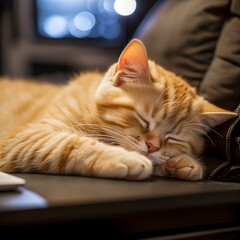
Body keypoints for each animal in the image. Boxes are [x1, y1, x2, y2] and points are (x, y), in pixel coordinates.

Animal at [0, 39, 236, 180]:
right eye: (144, 120)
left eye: (174, 138)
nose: (152, 147)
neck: (90, 109)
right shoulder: (26, 137)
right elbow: (70, 144)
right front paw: (125, 158)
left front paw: (180, 163)